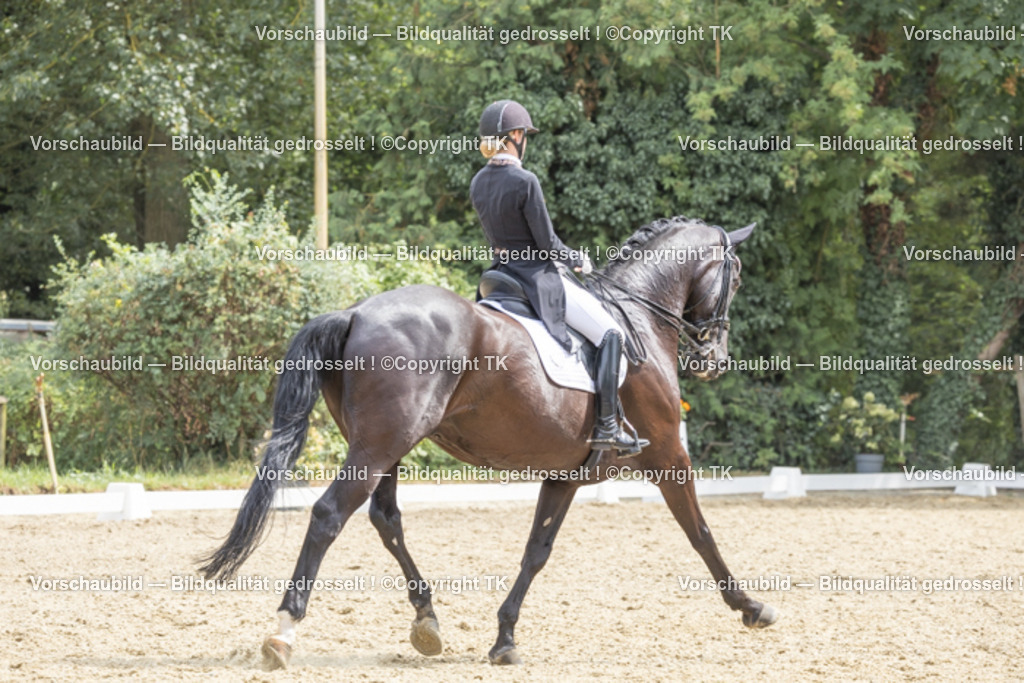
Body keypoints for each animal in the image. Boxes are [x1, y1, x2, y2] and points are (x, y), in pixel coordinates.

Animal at [198, 216, 777, 669]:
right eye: (736, 276)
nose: (714, 360)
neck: (637, 316)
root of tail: (357, 312)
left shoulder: (566, 474)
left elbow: (536, 552)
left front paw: (504, 638)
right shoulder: (668, 454)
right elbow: (701, 533)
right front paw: (751, 607)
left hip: (383, 445)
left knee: (386, 519)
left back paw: (427, 621)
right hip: (380, 446)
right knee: (328, 515)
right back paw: (283, 631)